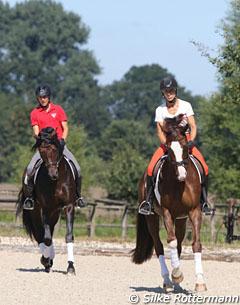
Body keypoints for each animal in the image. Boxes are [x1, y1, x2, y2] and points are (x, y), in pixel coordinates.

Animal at [16, 126, 76, 274]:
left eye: (54, 149)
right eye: (41, 151)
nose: (53, 174)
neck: (56, 182)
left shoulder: (69, 206)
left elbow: (68, 235)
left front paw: (70, 267)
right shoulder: (46, 208)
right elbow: (47, 238)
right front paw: (46, 260)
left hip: (55, 212)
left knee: (48, 231)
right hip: (36, 211)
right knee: (40, 233)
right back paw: (47, 260)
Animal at [132, 115, 207, 290]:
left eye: (185, 146)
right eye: (169, 148)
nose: (182, 174)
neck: (179, 184)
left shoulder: (194, 211)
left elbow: (195, 244)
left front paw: (200, 282)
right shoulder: (167, 212)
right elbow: (170, 243)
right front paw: (177, 275)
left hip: (181, 219)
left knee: (178, 243)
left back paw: (175, 282)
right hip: (152, 217)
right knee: (159, 246)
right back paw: (167, 280)